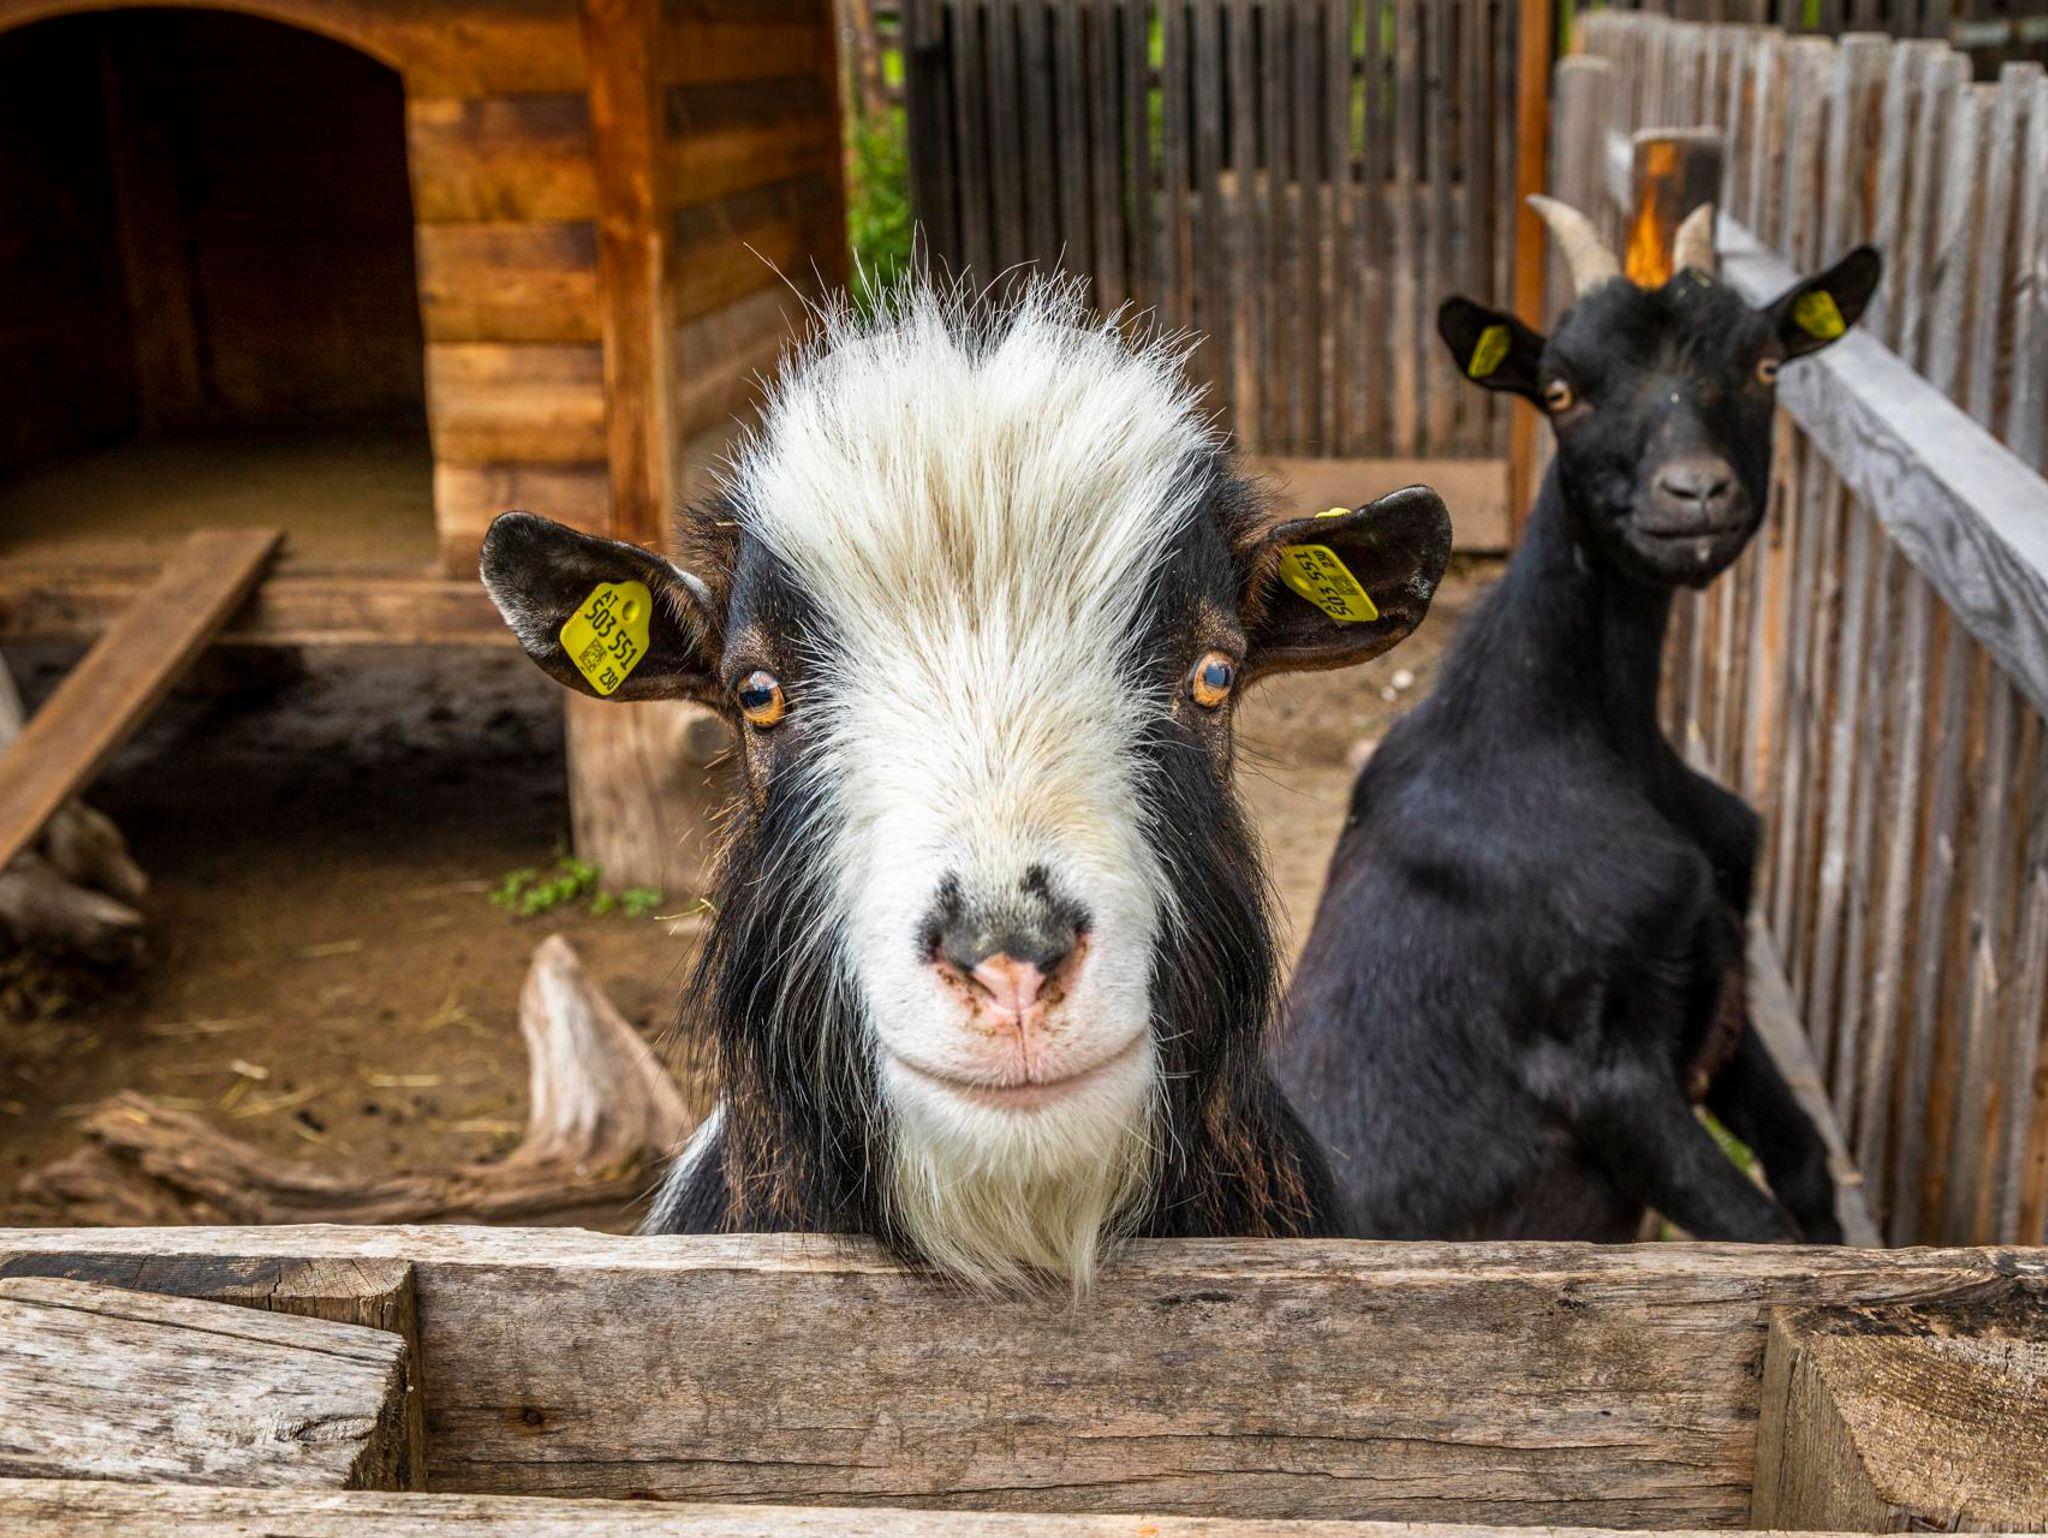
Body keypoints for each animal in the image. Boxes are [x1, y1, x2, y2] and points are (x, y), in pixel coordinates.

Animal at [1274, 202, 1879, 1244]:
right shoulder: (1597, 1065)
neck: (1582, 735)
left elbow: (1805, 1173)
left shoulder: (1714, 971)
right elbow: (1765, 1235)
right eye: (1561, 390)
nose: (1695, 494)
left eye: (1765, 366)